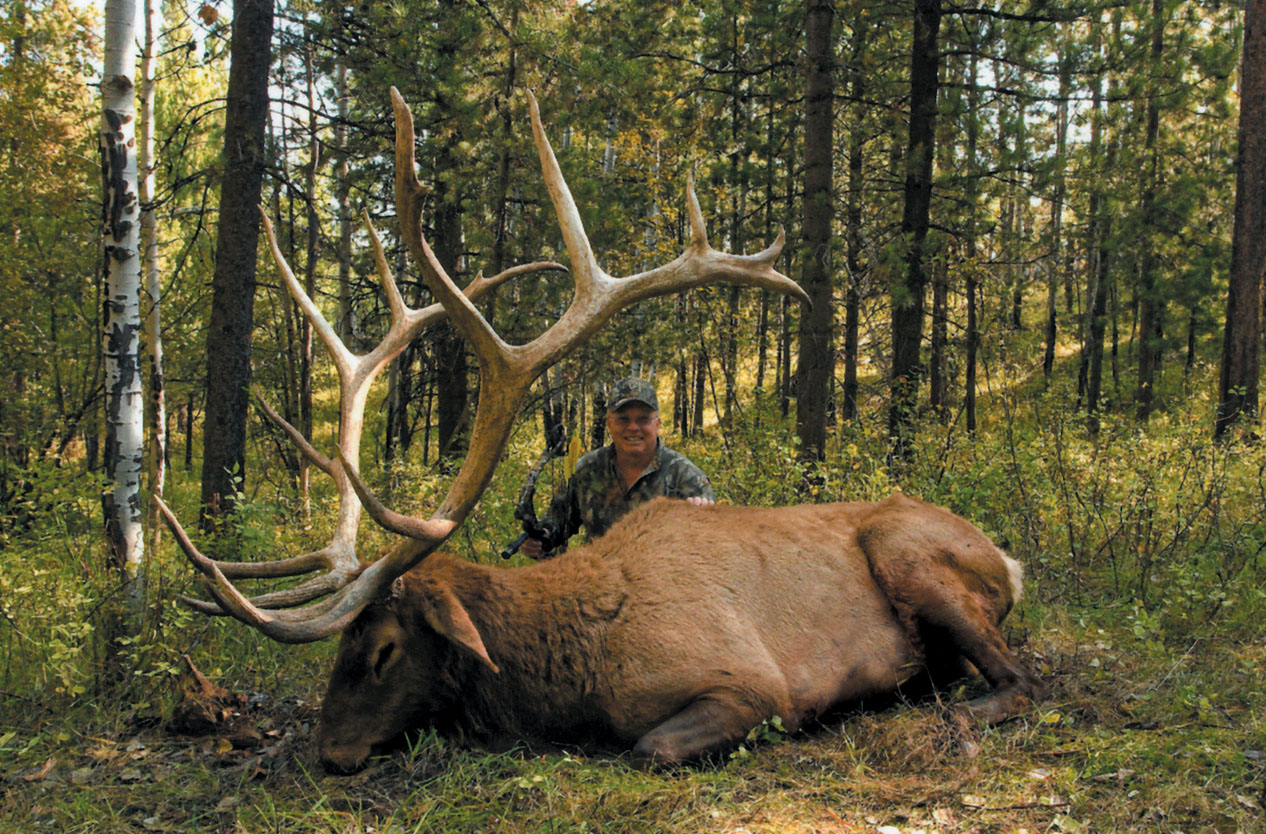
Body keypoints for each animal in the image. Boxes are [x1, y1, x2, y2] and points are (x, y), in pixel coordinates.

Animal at [158, 87, 1043, 774]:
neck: (569, 671)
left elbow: (650, 745)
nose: (328, 752)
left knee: (1022, 679)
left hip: (909, 554)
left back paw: (950, 710)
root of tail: (1011, 556)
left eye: (381, 650)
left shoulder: (753, 682)